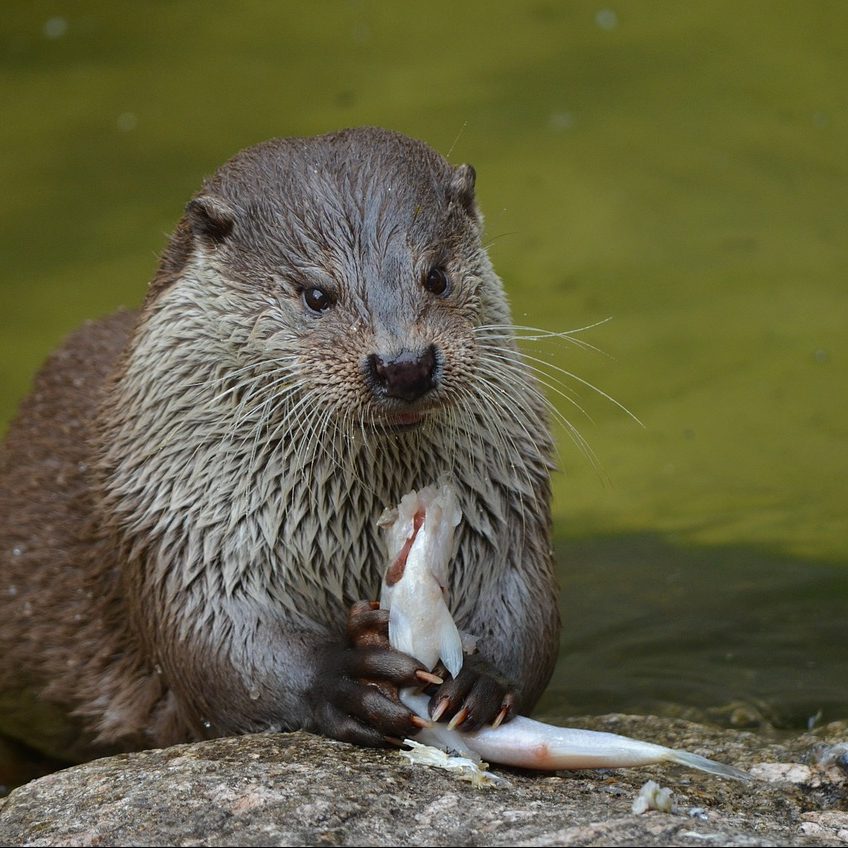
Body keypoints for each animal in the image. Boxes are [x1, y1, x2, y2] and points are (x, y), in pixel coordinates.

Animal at [0, 127, 560, 760]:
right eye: (316, 294)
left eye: (437, 277)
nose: (404, 365)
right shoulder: (178, 525)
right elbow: (219, 649)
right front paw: (341, 675)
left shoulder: (506, 499)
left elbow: (524, 604)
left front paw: (483, 679)